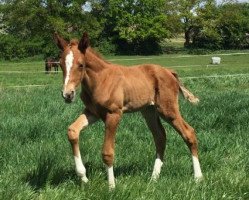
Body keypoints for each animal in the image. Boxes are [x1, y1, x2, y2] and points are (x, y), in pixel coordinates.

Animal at [54, 32, 202, 189]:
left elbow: (107, 152)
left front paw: (111, 187)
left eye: (81, 65)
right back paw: (153, 178)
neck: (100, 80)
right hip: (149, 111)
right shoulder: (92, 112)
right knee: (160, 137)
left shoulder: (114, 114)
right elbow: (72, 131)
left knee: (188, 132)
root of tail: (170, 72)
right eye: (61, 64)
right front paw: (84, 178)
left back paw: (198, 177)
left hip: (168, 110)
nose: (67, 94)